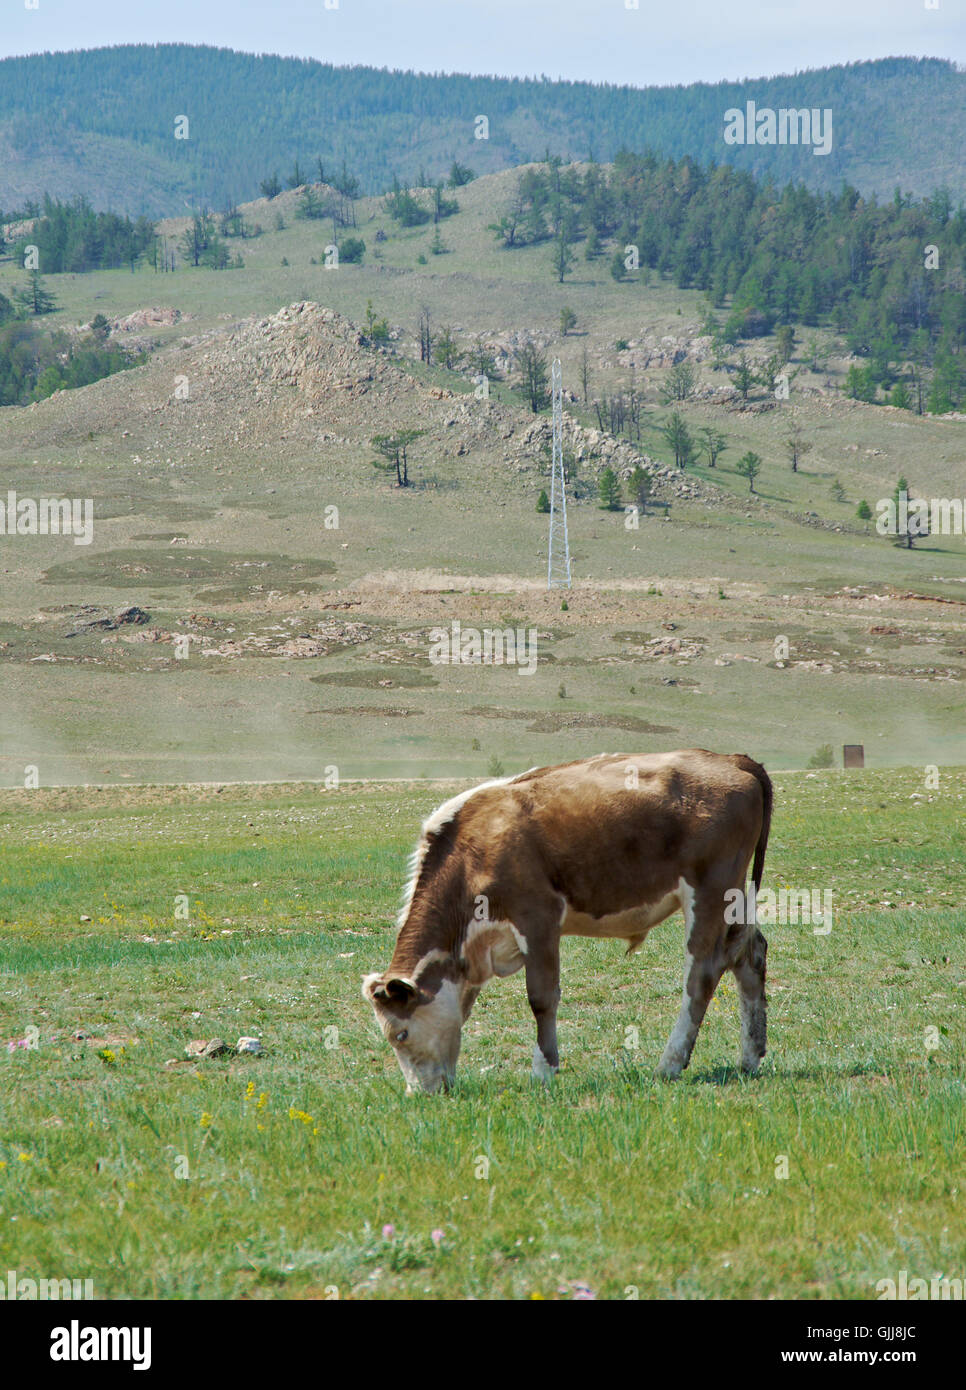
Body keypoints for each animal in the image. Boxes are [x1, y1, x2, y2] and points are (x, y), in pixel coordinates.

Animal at [361, 750, 772, 1095]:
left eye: (399, 1034)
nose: (419, 1094)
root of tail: (731, 759)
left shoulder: (537, 918)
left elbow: (542, 998)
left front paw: (543, 1071)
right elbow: (463, 1009)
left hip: (709, 892)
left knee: (701, 973)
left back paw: (670, 1063)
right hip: (734, 899)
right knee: (749, 956)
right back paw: (750, 1056)